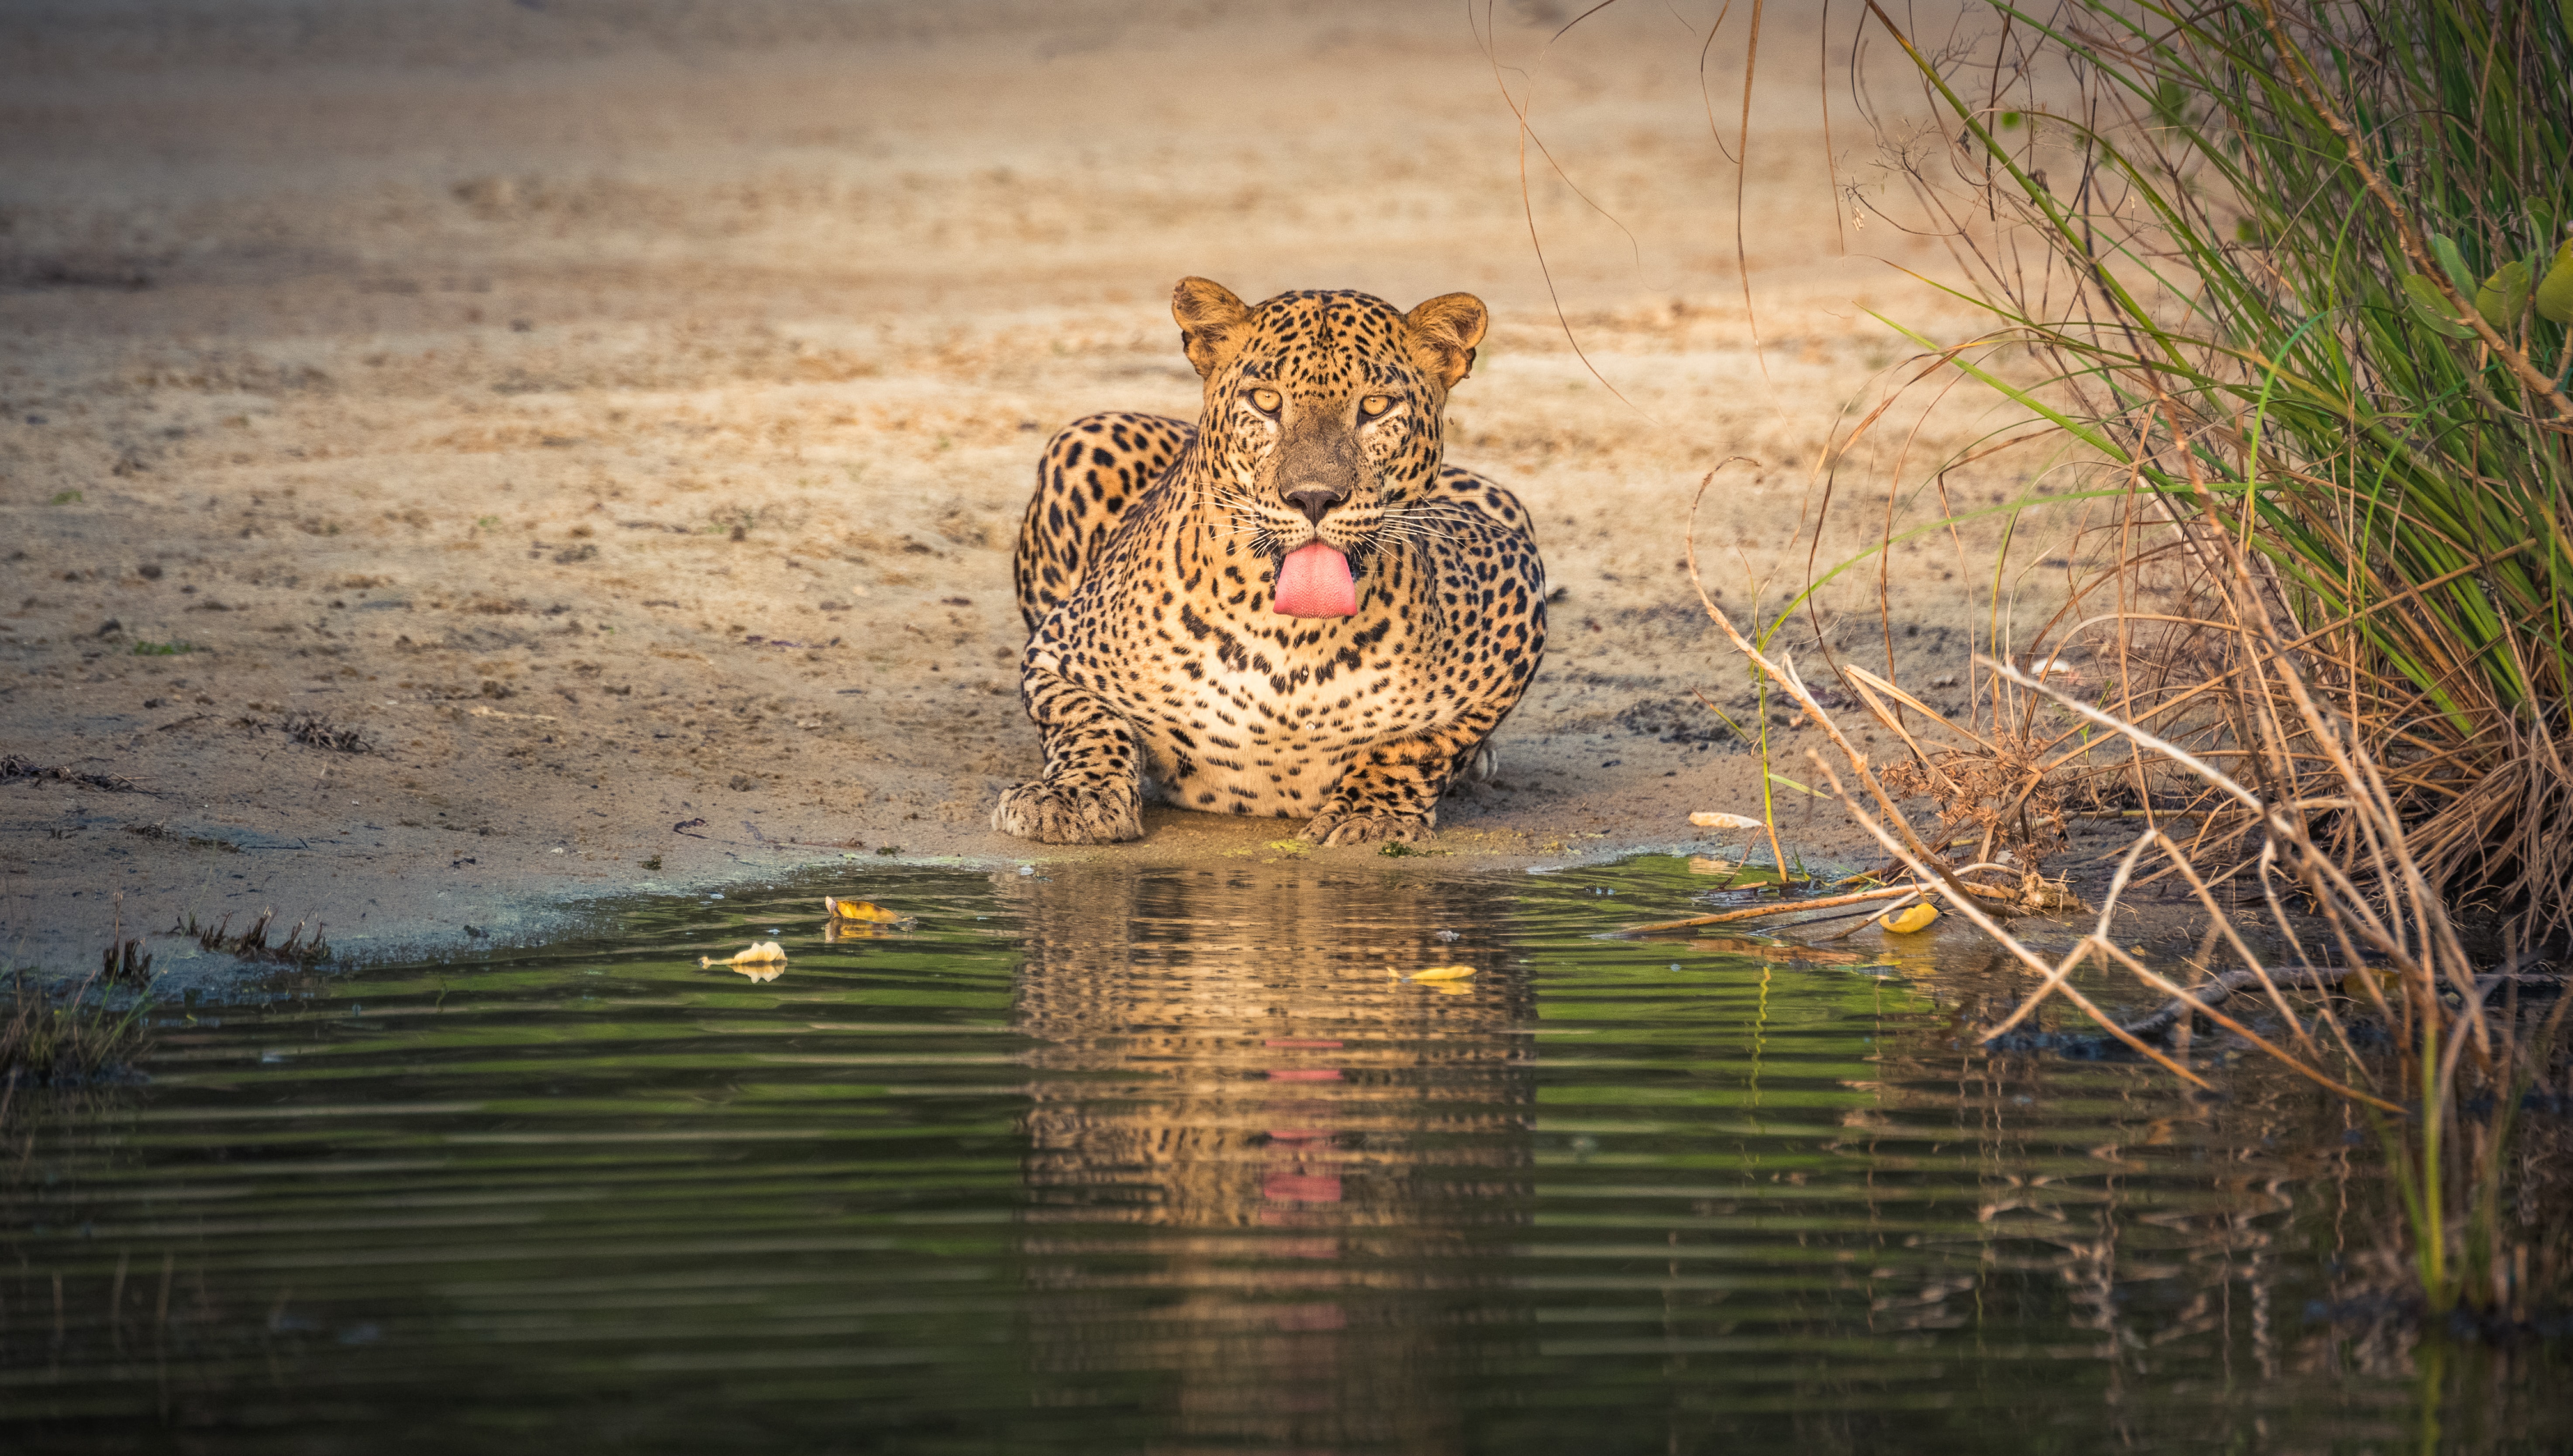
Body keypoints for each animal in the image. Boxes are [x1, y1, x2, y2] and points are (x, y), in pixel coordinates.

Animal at [993, 275, 1533, 849]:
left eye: (1376, 406)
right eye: (1266, 400)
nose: (1314, 497)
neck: (1292, 642)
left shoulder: (1516, 585)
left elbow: (1421, 744)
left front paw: (1371, 815)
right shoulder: (1056, 650)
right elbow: (1088, 721)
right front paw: (1075, 797)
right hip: (1087, 435)